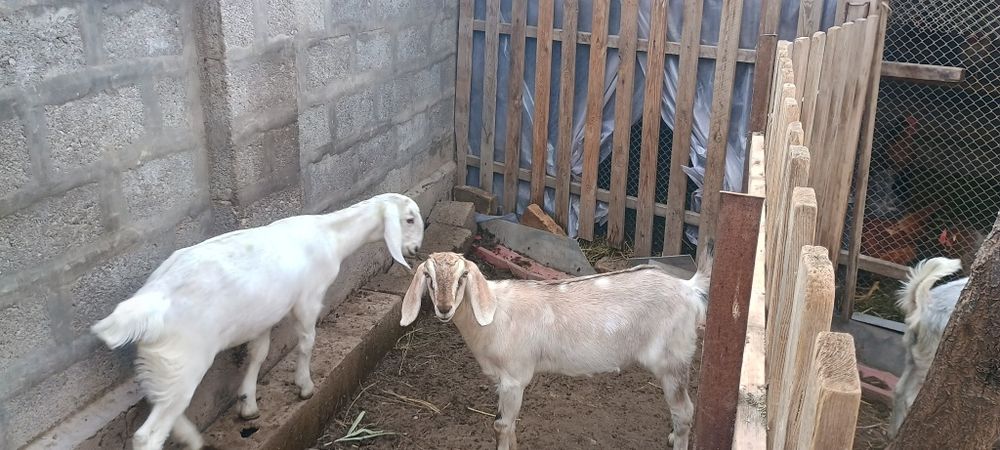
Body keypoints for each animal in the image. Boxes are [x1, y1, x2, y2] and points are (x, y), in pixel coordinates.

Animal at [91, 193, 424, 450]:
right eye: (409, 219)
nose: (417, 250)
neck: (330, 235)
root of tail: (147, 304)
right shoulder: (308, 300)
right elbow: (306, 342)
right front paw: (304, 386)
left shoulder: (264, 315)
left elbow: (258, 354)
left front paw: (248, 404)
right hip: (186, 360)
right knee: (148, 434)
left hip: (163, 364)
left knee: (163, 401)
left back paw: (191, 437)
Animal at [399, 252, 711, 450]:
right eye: (428, 276)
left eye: (463, 276)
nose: (444, 308)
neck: (493, 314)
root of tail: (689, 288)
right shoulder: (501, 381)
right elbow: (508, 425)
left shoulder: (515, 377)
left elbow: (501, 426)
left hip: (673, 359)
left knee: (684, 411)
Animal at [889, 257, 967, 437]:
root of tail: (925, 303)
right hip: (932, 359)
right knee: (911, 398)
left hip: (913, 356)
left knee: (899, 390)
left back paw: (893, 432)